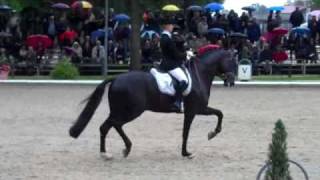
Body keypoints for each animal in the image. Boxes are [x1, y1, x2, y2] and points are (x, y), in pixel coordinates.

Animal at [70, 49, 235, 158]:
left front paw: (204, 139)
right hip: (131, 111)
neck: (198, 74)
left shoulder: (196, 110)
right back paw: (123, 149)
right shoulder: (195, 110)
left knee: (106, 126)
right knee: (114, 124)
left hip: (119, 110)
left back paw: (107, 153)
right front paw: (191, 149)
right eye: (231, 61)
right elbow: (191, 129)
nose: (232, 80)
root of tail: (116, 78)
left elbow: (217, 114)